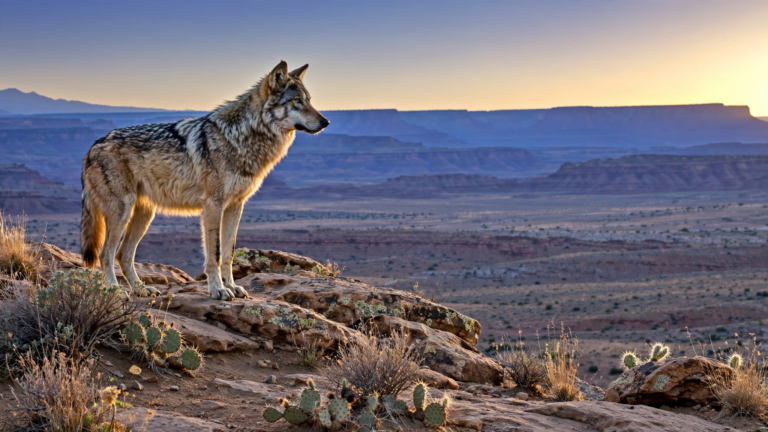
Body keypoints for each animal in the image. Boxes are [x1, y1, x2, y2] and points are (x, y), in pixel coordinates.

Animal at [80, 61, 328, 300]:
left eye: (309, 100)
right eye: (297, 101)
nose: (325, 122)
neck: (241, 137)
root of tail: (93, 147)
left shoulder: (235, 206)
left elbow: (228, 253)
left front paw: (232, 287)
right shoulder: (213, 205)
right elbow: (215, 254)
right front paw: (218, 290)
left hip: (144, 215)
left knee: (123, 254)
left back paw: (142, 290)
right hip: (122, 213)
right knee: (106, 253)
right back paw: (115, 291)